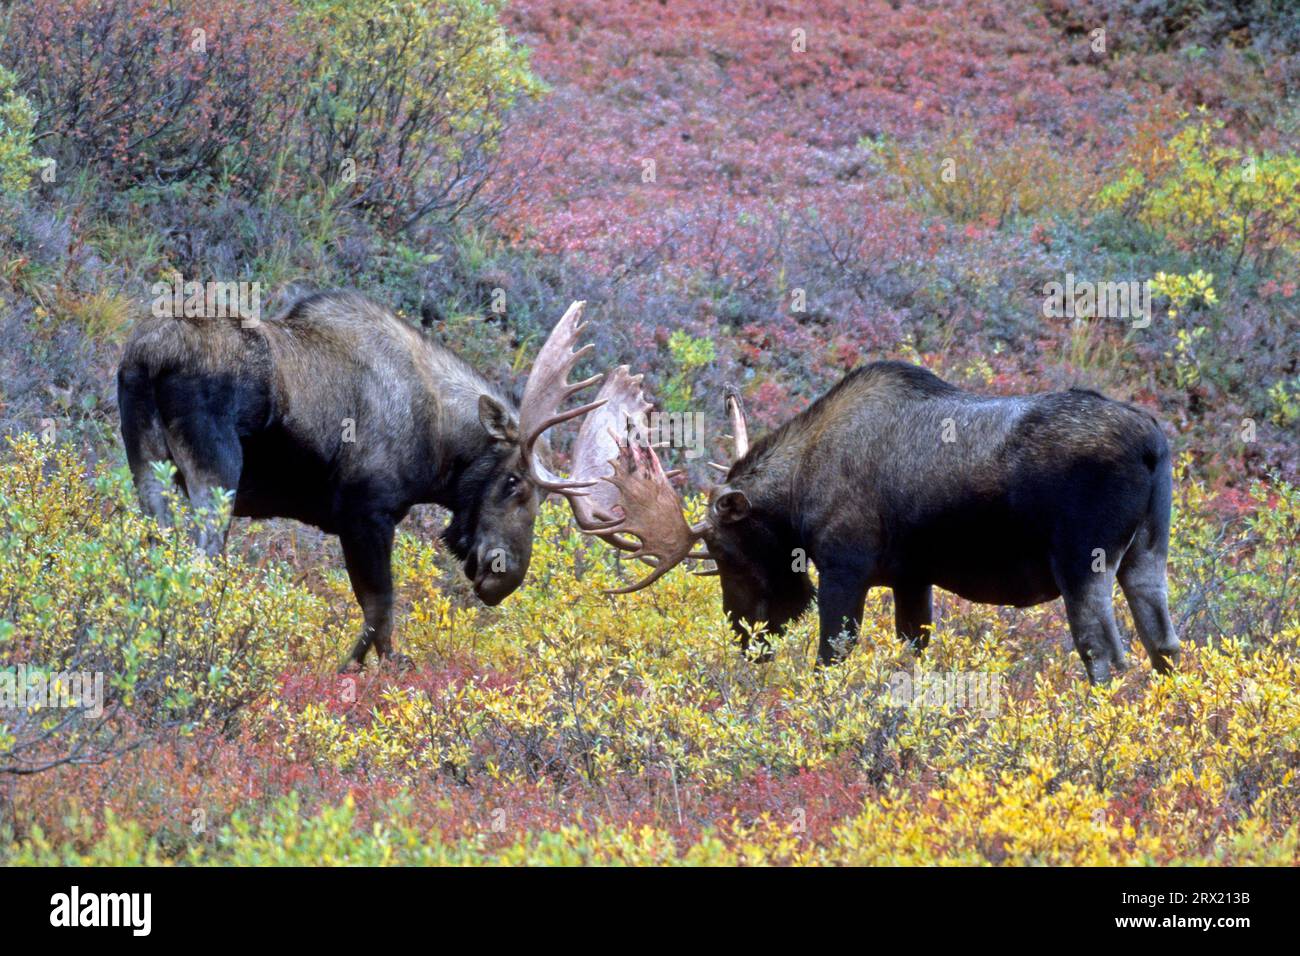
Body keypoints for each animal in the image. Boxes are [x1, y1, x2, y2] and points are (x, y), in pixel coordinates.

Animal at [119, 293, 600, 671]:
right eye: (514, 480)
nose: (506, 577)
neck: (441, 444)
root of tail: (151, 355)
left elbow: (376, 614)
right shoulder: (367, 513)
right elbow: (380, 609)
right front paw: (360, 672)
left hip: (147, 466)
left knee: (153, 551)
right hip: (216, 473)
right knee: (200, 560)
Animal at [574, 361, 1185, 686]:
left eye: (726, 552)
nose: (744, 636)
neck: (796, 494)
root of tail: (1154, 445)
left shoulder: (845, 569)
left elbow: (830, 658)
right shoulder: (912, 579)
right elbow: (914, 649)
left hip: (1084, 562)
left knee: (1106, 655)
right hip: (1147, 555)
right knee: (1166, 647)